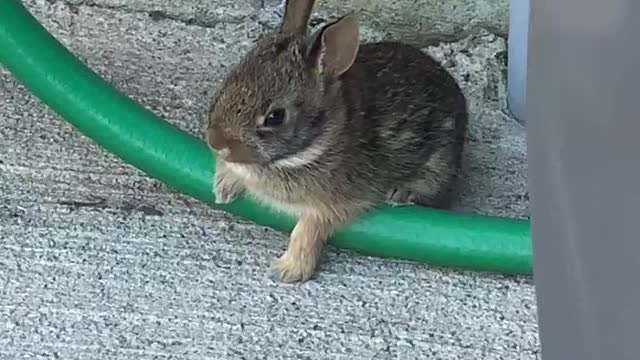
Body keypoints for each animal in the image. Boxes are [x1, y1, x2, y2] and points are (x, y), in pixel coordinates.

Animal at [208, 0, 468, 282]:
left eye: (275, 117)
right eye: (226, 84)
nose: (215, 142)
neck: (315, 146)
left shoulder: (336, 203)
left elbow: (309, 228)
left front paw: (289, 270)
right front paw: (223, 188)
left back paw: (402, 193)